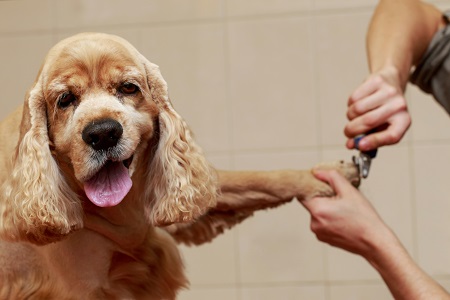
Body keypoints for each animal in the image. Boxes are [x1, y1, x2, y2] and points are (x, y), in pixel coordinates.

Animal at [0, 32, 360, 300]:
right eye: (65, 99)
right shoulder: (83, 286)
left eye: (128, 87)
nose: (102, 133)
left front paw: (329, 174)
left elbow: (257, 179)